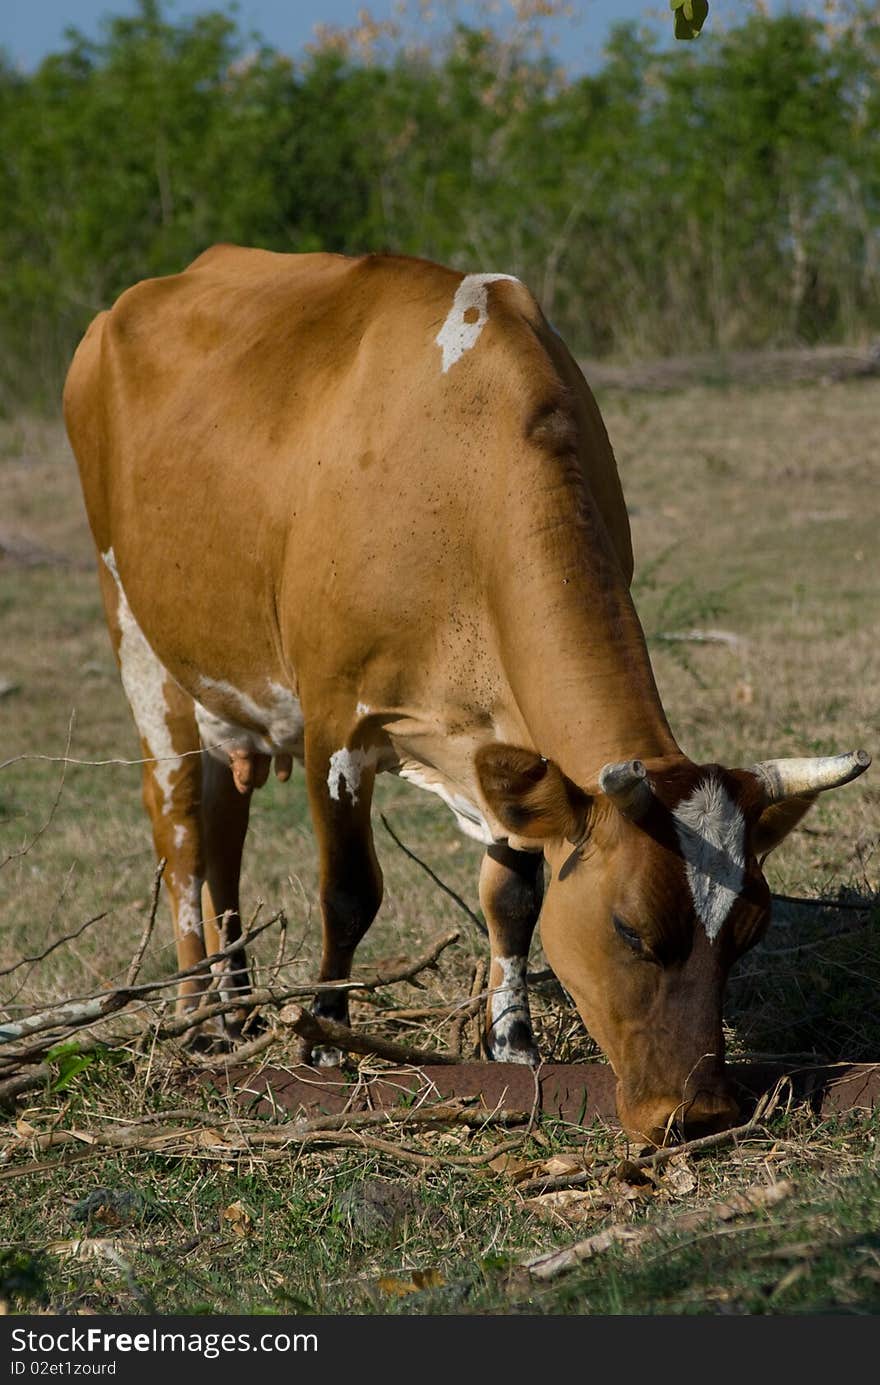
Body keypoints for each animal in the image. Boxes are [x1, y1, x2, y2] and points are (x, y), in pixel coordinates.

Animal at [65, 249, 870, 1146]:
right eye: (630, 927)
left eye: (751, 929)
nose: (701, 1111)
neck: (459, 473)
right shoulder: (334, 720)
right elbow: (348, 893)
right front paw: (325, 1041)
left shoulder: (509, 738)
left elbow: (515, 897)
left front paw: (512, 1045)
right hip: (137, 637)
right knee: (180, 838)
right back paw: (199, 1018)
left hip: (229, 695)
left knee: (224, 834)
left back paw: (237, 1005)